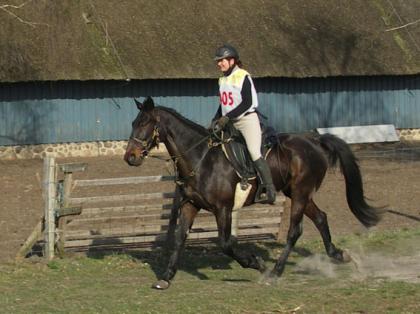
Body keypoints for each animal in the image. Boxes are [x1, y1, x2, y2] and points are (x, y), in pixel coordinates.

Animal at [123, 97, 382, 290]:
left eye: (145, 123)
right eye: (133, 122)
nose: (130, 157)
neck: (201, 159)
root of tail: (314, 141)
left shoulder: (224, 209)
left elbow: (226, 244)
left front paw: (255, 263)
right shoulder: (190, 204)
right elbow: (179, 239)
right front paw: (166, 277)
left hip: (300, 193)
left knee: (294, 231)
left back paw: (275, 271)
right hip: (298, 193)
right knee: (320, 218)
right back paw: (339, 255)